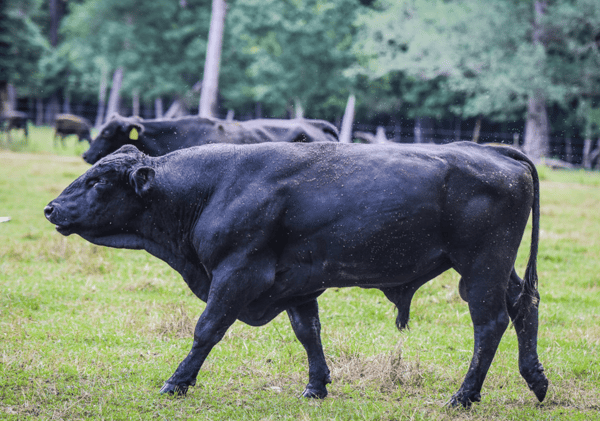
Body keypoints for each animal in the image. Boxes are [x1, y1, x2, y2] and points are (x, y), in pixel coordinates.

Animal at [43, 142, 548, 406]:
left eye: (99, 181)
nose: (51, 208)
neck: (215, 186)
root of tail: (493, 151)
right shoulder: (298, 284)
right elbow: (309, 334)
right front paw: (316, 386)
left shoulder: (237, 274)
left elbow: (207, 329)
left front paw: (177, 382)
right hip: (499, 271)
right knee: (524, 308)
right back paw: (536, 379)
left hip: (481, 270)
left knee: (490, 324)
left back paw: (464, 395)